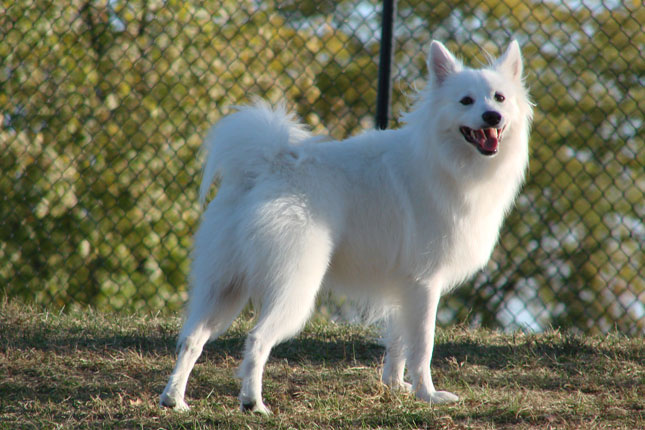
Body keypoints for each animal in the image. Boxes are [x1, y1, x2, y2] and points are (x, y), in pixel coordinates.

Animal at [160, 40, 528, 414]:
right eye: (466, 101)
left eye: (499, 98)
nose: (492, 116)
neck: (443, 158)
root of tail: (267, 166)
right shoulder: (425, 284)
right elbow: (423, 346)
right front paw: (427, 395)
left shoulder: (404, 288)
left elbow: (398, 344)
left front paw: (396, 387)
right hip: (294, 288)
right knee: (257, 338)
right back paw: (253, 403)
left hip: (224, 288)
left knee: (191, 339)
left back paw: (174, 399)